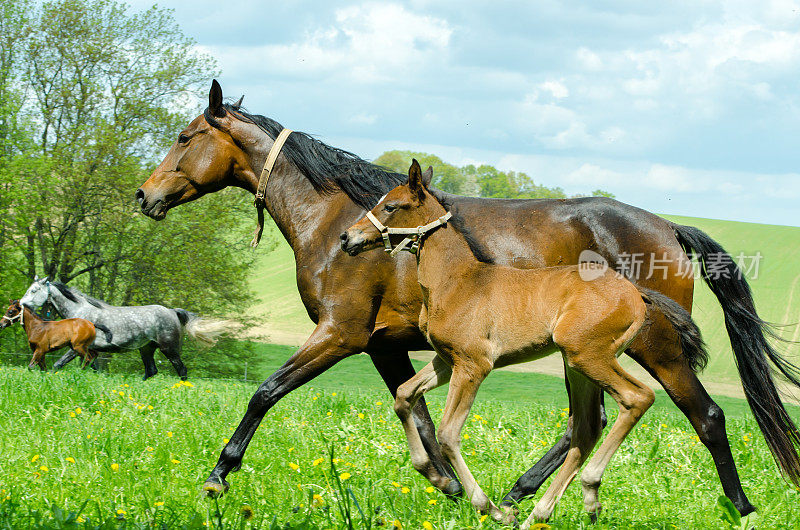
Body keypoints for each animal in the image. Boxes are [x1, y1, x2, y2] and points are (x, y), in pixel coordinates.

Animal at [21, 278, 222, 378]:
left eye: (34, 290)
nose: (22, 304)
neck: (79, 313)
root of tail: (173, 311)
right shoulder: (91, 351)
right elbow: (93, 368)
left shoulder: (76, 348)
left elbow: (58, 364)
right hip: (146, 349)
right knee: (151, 371)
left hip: (169, 349)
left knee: (181, 370)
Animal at [340, 161, 708, 524]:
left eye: (390, 206)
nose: (347, 237)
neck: (457, 280)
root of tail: (636, 293)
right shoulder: (445, 361)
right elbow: (404, 396)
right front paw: (434, 475)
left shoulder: (473, 365)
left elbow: (448, 434)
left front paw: (490, 509)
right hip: (578, 365)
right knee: (586, 429)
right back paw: (541, 513)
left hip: (589, 356)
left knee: (637, 398)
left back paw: (586, 492)